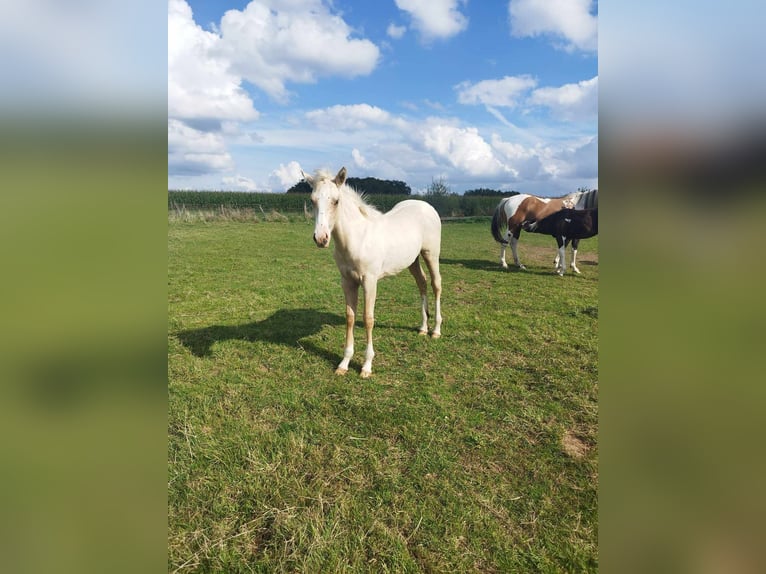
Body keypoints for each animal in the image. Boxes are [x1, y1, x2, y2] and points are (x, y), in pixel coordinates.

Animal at [302, 169, 440, 380]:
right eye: (312, 200)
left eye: (336, 201)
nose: (321, 238)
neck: (358, 238)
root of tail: (426, 206)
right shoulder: (347, 282)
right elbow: (350, 317)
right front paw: (344, 364)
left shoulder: (369, 281)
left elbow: (368, 319)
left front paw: (366, 366)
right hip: (413, 260)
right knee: (422, 283)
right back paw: (423, 328)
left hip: (431, 254)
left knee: (436, 284)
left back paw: (436, 330)